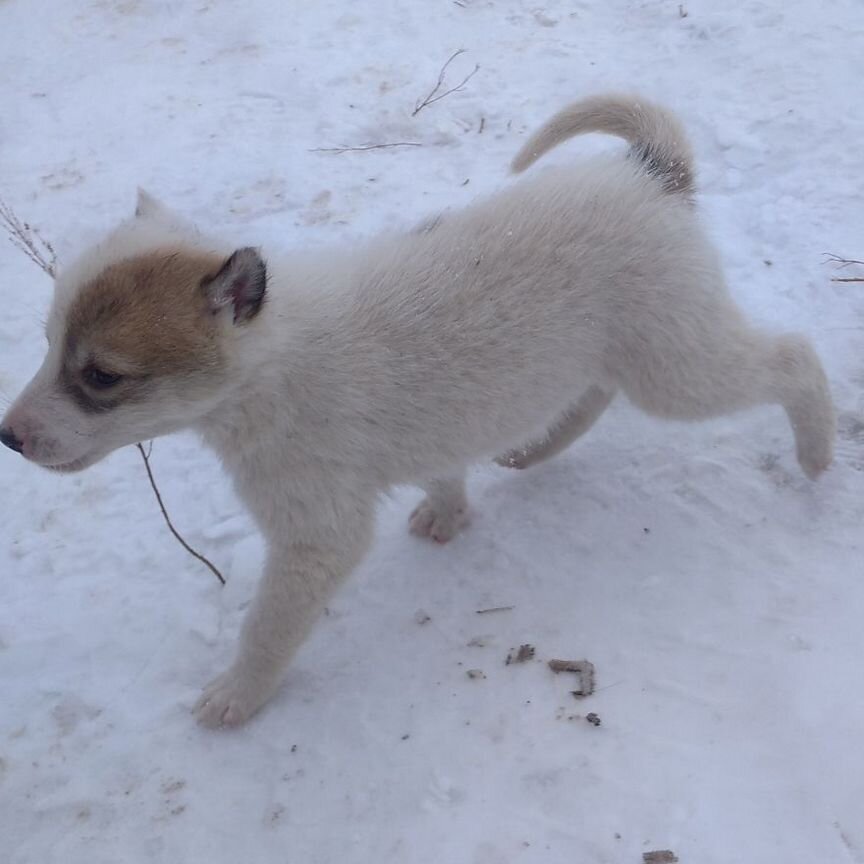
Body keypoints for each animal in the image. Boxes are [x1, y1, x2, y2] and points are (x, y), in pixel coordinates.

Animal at [1, 94, 836, 724]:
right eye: (47, 345)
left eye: (101, 376)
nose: (8, 437)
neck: (272, 358)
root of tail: (651, 176)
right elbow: (444, 469)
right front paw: (448, 511)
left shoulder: (315, 536)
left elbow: (268, 626)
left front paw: (237, 695)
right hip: (622, 349)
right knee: (592, 394)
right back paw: (532, 450)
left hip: (675, 362)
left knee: (791, 356)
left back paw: (817, 451)